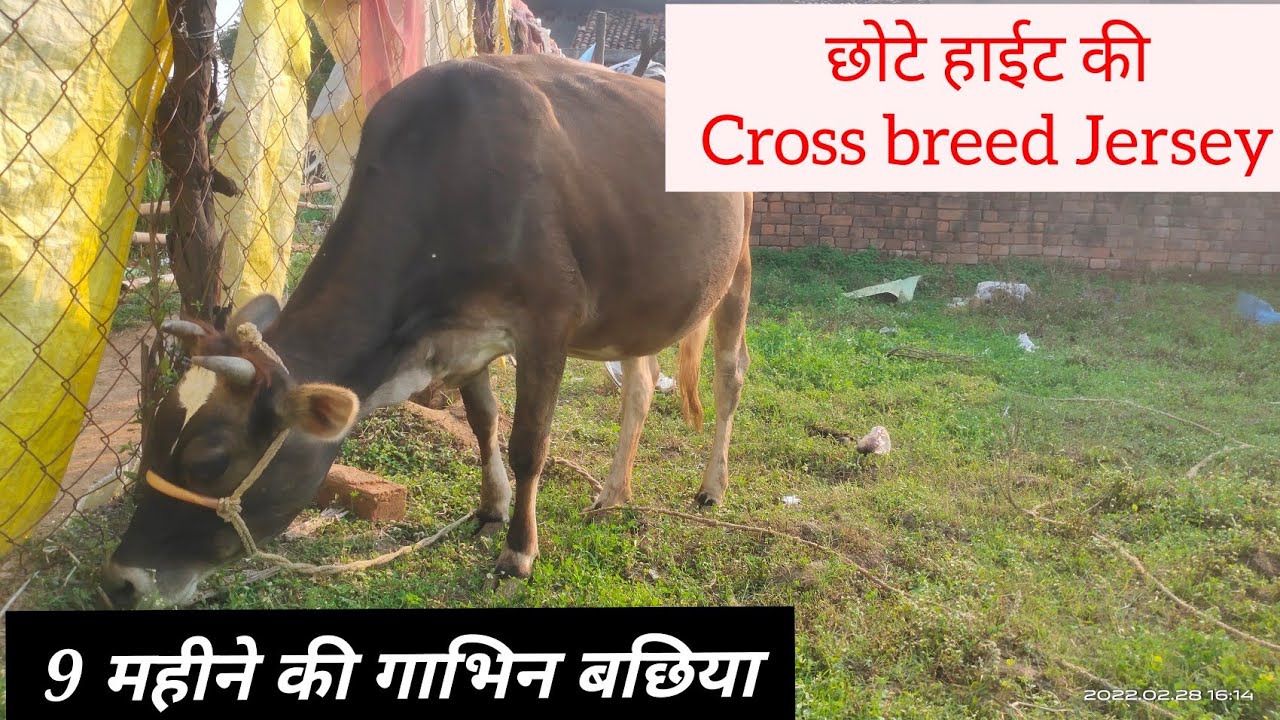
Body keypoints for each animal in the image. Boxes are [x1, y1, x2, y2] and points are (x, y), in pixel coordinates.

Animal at [99, 52, 753, 609]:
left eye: (209, 462)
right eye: (155, 435)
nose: (122, 582)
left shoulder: (546, 326)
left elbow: (528, 444)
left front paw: (518, 554)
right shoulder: (467, 338)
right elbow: (485, 423)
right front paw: (490, 509)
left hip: (738, 266)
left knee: (729, 377)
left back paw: (712, 486)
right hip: (637, 304)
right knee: (639, 386)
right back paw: (614, 492)